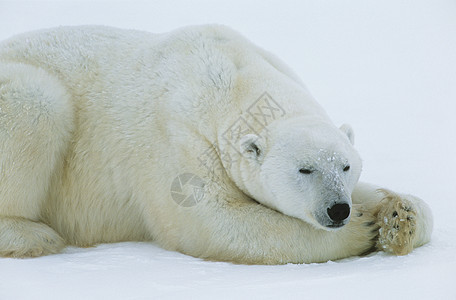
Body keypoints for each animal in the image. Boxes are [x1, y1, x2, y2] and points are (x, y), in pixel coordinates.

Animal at [0, 26, 432, 264]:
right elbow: (212, 223)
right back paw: (35, 237)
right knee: (37, 99)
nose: (338, 209)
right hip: (25, 94)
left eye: (345, 166)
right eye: (304, 169)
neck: (225, 76)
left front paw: (397, 217)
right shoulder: (176, 138)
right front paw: (364, 228)